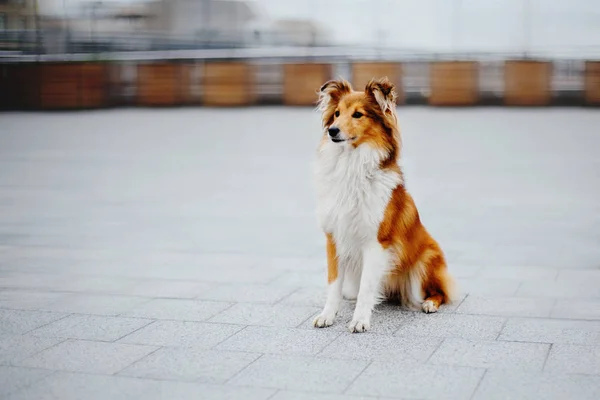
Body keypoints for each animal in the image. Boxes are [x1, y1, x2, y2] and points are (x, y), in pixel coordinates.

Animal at [314, 76, 454, 332]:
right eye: (336, 113)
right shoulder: (334, 237)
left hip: (426, 260)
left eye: (358, 114)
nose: (332, 131)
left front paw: (360, 320)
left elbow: (367, 286)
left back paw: (430, 303)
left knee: (440, 292)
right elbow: (333, 283)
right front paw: (327, 315)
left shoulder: (376, 242)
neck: (352, 165)